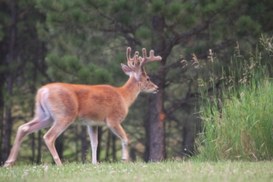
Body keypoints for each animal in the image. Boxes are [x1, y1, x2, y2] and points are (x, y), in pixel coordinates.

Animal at [3, 46, 160, 166]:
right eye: (148, 78)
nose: (156, 88)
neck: (123, 96)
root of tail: (42, 92)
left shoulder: (92, 123)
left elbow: (94, 143)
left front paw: (95, 163)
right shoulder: (112, 119)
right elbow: (126, 138)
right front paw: (124, 160)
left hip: (44, 115)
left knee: (23, 128)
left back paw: (8, 162)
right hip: (64, 114)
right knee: (48, 136)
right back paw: (59, 164)